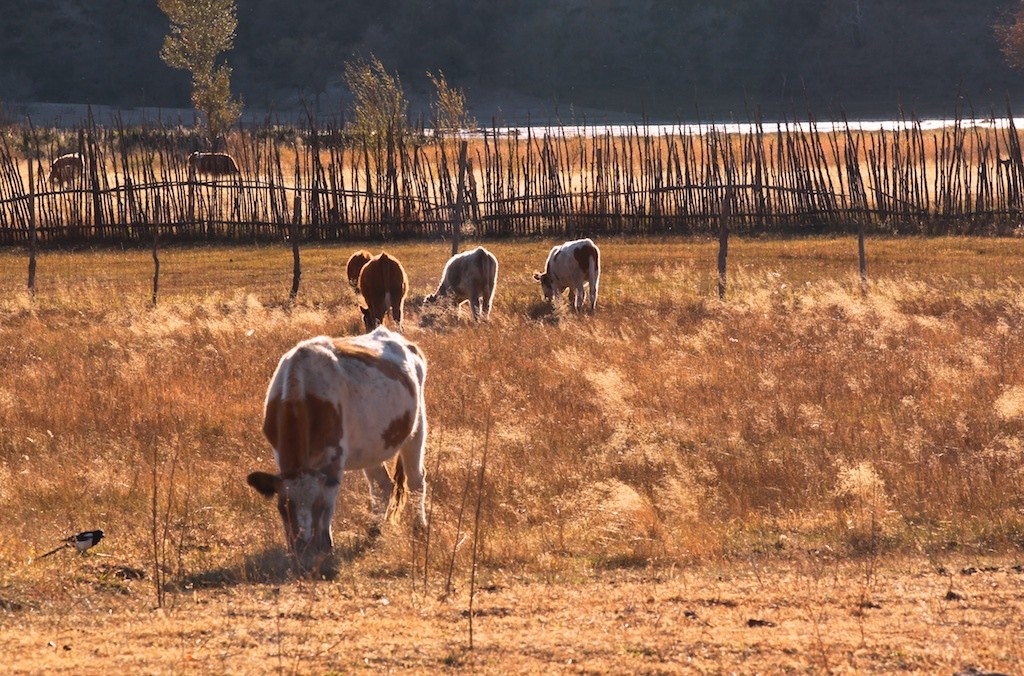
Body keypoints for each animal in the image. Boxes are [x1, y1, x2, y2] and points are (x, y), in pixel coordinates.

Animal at [247, 327, 428, 569]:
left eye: (317, 506)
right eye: (282, 507)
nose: (303, 548)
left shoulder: (334, 461)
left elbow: (329, 507)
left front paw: (327, 546)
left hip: (416, 428)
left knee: (416, 480)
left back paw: (420, 528)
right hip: (372, 447)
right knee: (383, 485)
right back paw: (374, 531)